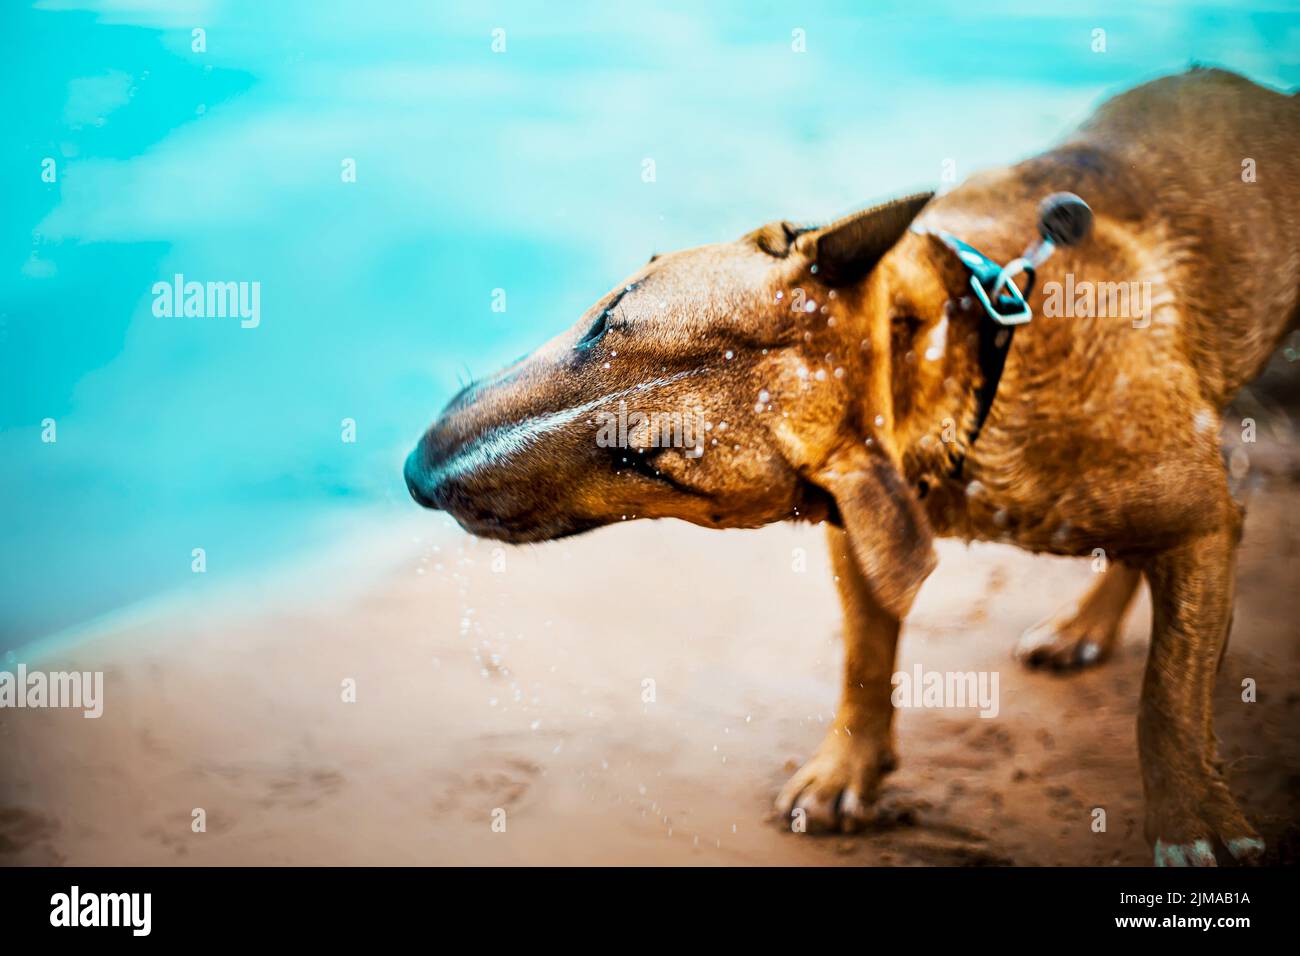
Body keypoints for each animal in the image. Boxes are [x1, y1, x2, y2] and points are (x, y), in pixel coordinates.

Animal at [408, 70, 1300, 868]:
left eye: (647, 465)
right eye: (608, 315)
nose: (418, 473)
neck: (946, 355)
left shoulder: (1197, 520)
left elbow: (1169, 694)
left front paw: (1192, 823)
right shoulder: (861, 524)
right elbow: (865, 657)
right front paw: (846, 777)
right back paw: (1083, 626)